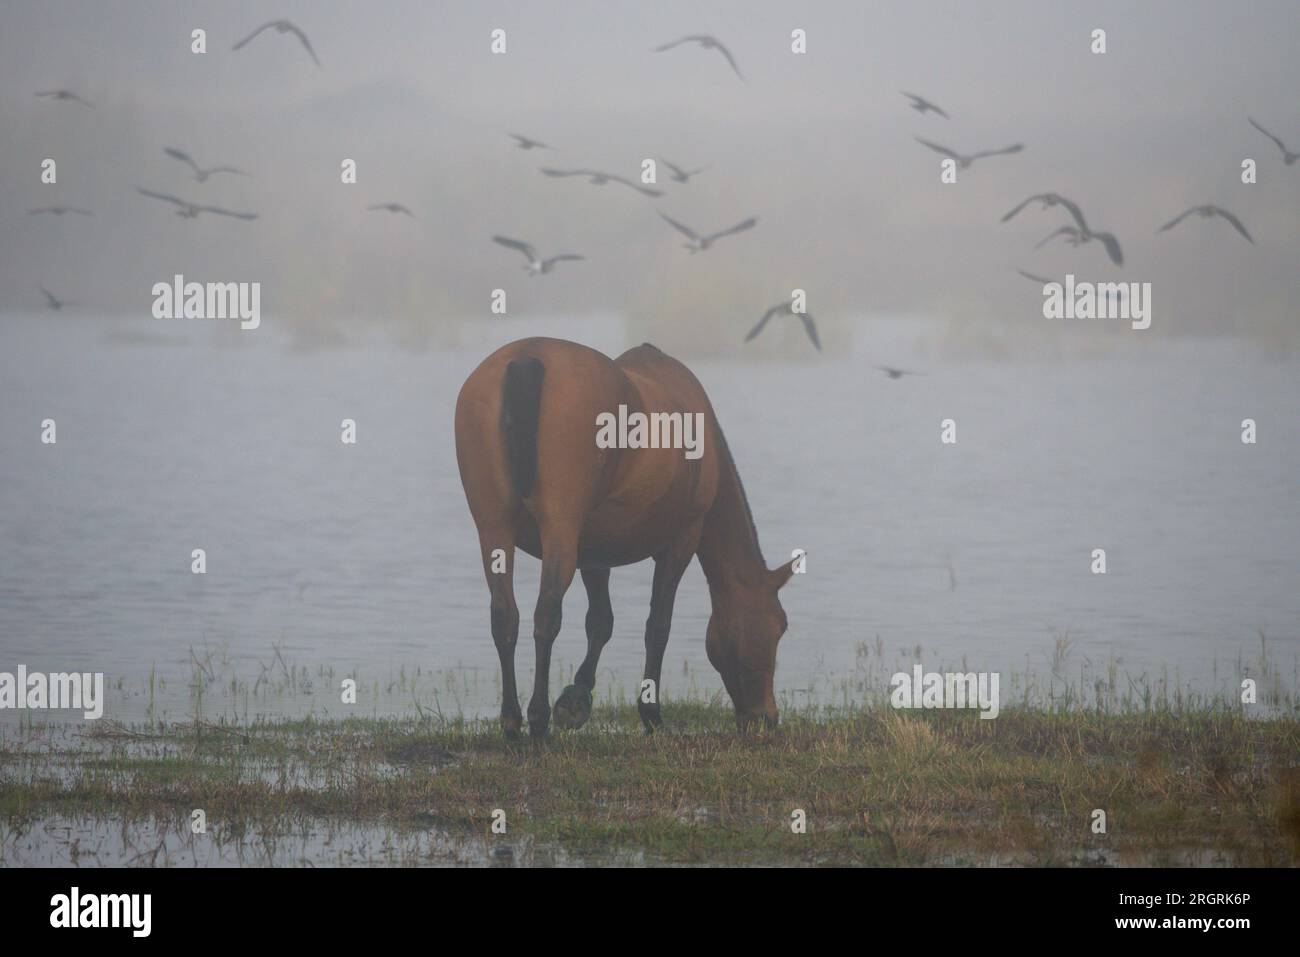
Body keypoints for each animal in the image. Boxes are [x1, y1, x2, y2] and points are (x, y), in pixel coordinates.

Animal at [454, 337, 796, 739]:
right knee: (546, 613)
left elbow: (601, 622)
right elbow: (657, 626)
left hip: (494, 528)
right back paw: (537, 720)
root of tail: (525, 358)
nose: (766, 717)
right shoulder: (681, 541)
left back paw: (511, 720)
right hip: (559, 530)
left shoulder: (593, 551)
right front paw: (650, 713)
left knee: (504, 615)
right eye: (779, 626)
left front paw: (576, 700)